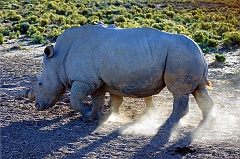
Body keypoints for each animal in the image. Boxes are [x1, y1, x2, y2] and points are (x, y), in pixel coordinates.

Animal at [4, 23, 214, 125]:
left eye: (40, 84)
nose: (37, 106)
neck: (58, 59)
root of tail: (201, 51)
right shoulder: (95, 80)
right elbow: (97, 98)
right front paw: (96, 117)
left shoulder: (83, 79)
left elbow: (75, 100)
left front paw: (87, 114)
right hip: (187, 55)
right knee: (199, 89)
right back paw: (207, 122)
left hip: (181, 55)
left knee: (179, 92)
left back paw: (169, 123)